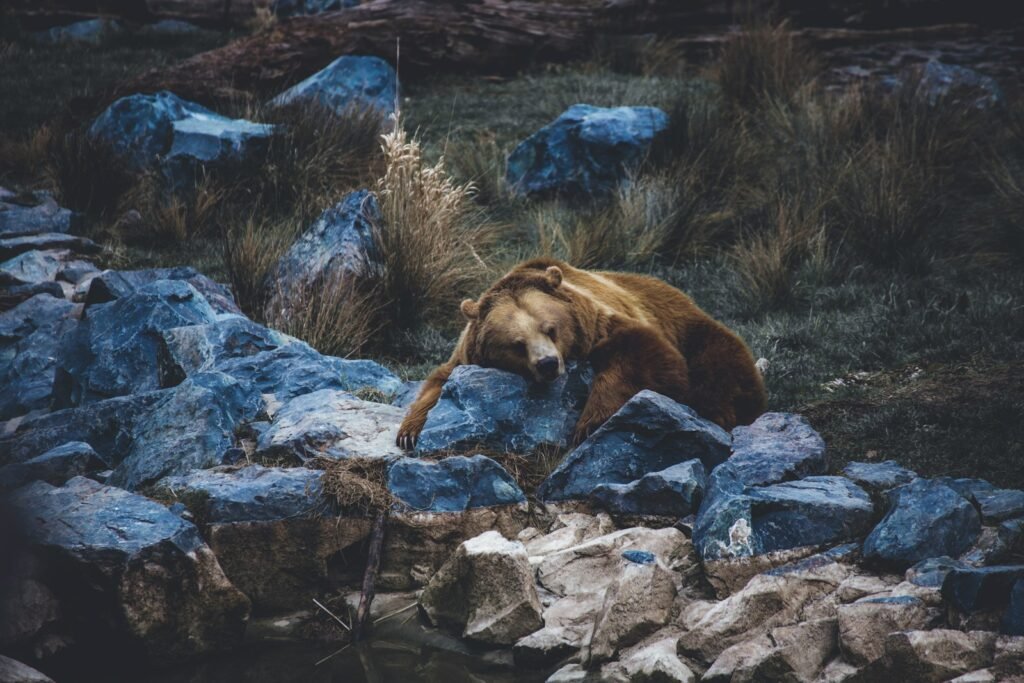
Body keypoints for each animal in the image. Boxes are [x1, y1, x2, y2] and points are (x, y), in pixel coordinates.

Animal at [396, 258, 766, 449]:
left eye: (550, 328)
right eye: (516, 343)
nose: (548, 364)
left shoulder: (601, 323)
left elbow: (645, 357)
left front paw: (588, 424)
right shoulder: (467, 355)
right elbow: (437, 381)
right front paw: (409, 432)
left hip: (689, 325)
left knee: (723, 365)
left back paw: (720, 410)